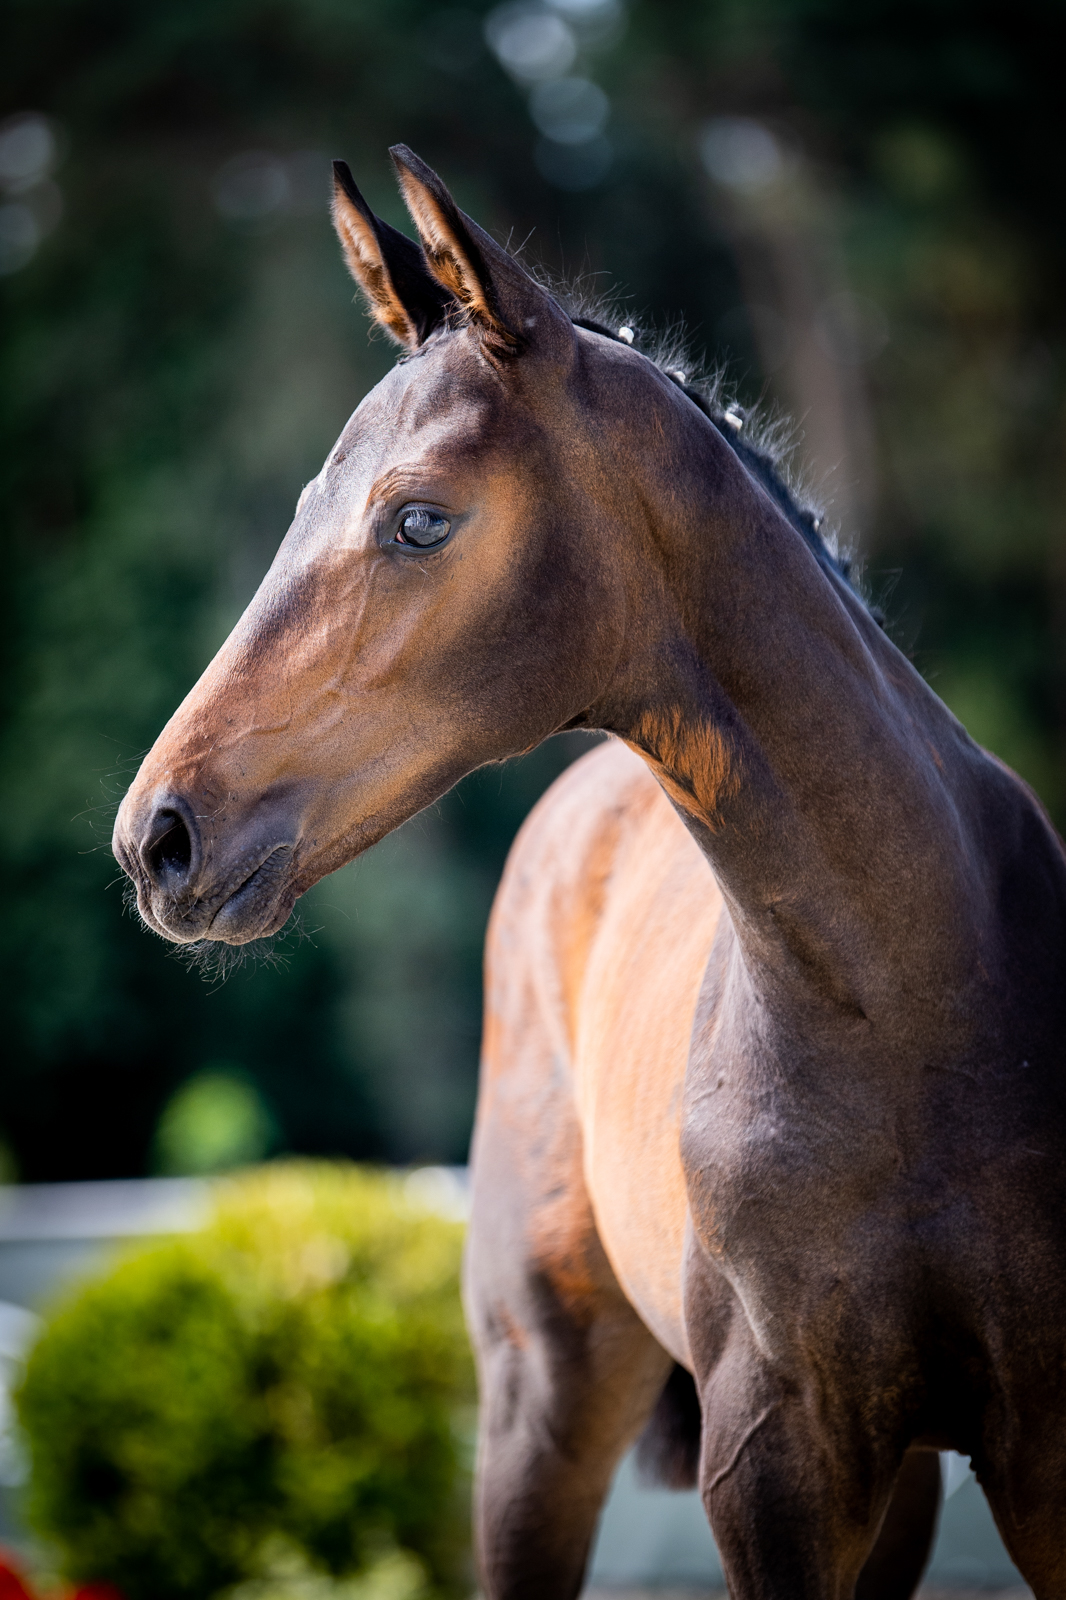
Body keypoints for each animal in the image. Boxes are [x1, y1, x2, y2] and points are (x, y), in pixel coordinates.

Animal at [112, 147, 1066, 1598]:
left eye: (418, 518)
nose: (157, 835)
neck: (917, 1001)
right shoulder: (771, 1460)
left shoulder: (1040, 1450)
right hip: (539, 1405)